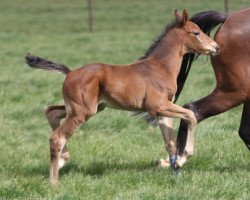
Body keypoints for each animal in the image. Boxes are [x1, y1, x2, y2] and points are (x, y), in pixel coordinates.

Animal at [24, 9, 218, 184]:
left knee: (51, 111)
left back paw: (63, 160)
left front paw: (176, 168)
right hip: (82, 112)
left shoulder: (162, 110)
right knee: (57, 137)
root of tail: (70, 73)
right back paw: (54, 181)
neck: (160, 67)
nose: (216, 47)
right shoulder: (157, 106)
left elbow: (170, 142)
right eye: (196, 33)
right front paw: (184, 157)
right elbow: (191, 116)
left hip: (86, 108)